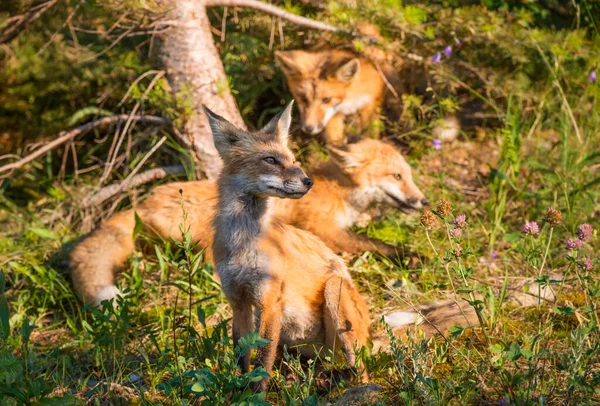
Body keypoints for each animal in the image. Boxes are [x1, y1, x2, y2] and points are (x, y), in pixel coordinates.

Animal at [69, 138, 426, 306]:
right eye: (396, 176)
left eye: (408, 175)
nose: (423, 201)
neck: (337, 191)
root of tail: (142, 202)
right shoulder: (324, 229)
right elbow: (375, 243)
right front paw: (410, 255)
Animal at [206, 100, 370, 390]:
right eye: (270, 160)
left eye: (293, 160)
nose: (308, 181)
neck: (244, 243)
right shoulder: (238, 301)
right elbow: (242, 357)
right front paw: (238, 392)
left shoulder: (270, 301)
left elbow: (262, 362)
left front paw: (255, 395)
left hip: (335, 294)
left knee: (360, 369)